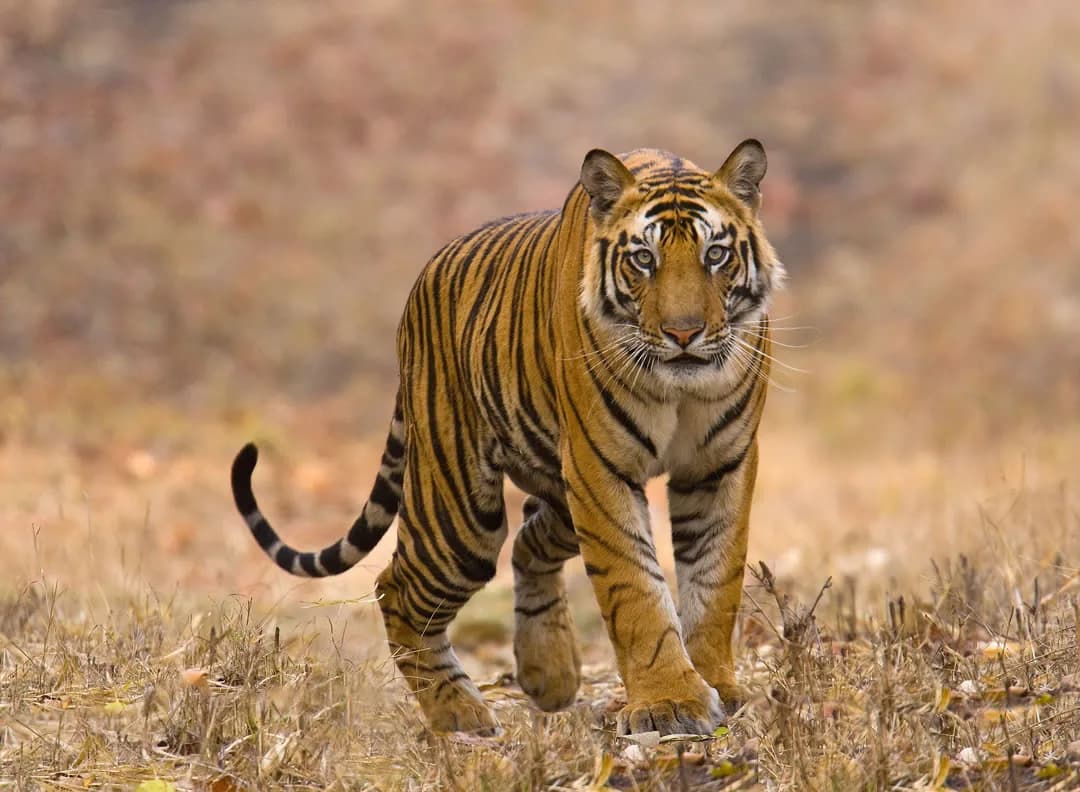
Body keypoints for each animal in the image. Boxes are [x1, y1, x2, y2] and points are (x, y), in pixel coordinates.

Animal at [230, 140, 784, 736]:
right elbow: (633, 585)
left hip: (557, 493)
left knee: (527, 540)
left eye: (716, 255)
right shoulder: (600, 469)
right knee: (397, 587)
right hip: (461, 514)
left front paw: (719, 687)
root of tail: (420, 285)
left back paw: (548, 674)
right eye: (643, 259)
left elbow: (715, 580)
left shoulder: (718, 467)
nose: (684, 334)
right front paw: (670, 703)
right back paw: (459, 712)